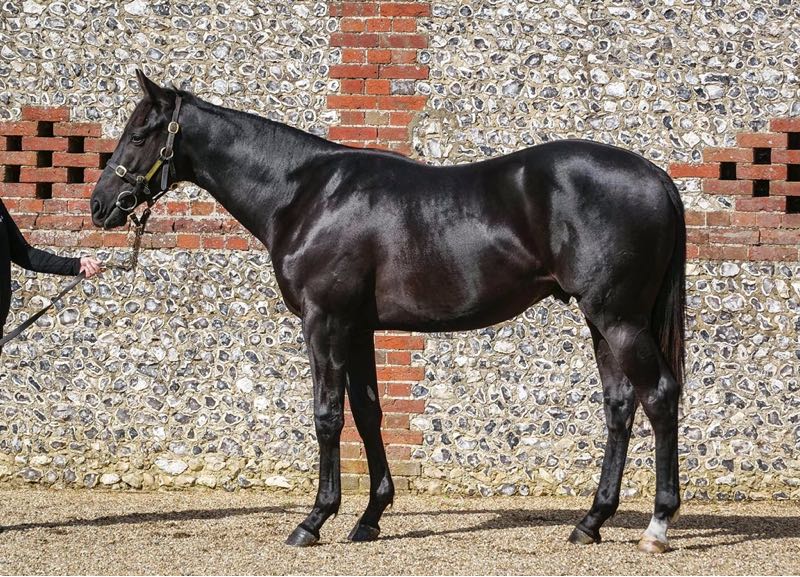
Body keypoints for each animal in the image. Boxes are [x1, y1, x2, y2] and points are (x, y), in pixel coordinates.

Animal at [90, 70, 686, 554]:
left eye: (139, 135)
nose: (99, 206)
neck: (304, 194)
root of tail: (657, 177)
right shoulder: (356, 328)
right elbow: (367, 413)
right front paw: (370, 516)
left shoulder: (324, 321)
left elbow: (328, 415)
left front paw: (314, 520)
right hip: (600, 321)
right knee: (619, 406)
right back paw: (591, 521)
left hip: (618, 319)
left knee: (658, 396)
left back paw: (657, 526)